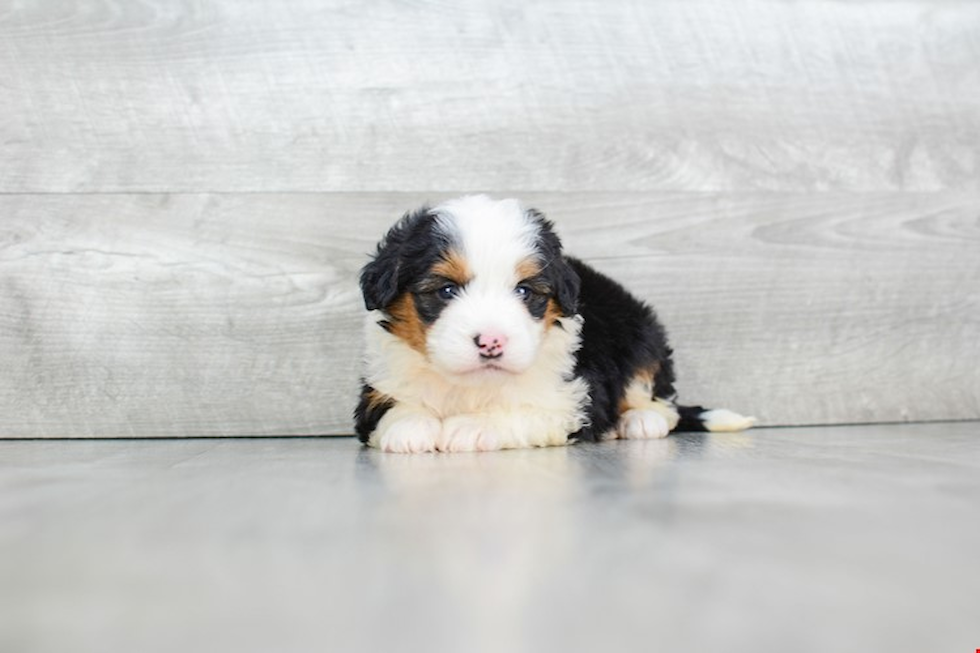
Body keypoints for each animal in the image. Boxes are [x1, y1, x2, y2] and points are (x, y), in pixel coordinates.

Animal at [356, 195, 756, 454]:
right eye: (446, 290)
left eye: (524, 290)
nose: (491, 342)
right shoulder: (379, 386)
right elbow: (392, 408)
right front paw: (409, 428)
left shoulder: (571, 399)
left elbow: (522, 411)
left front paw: (472, 427)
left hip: (641, 332)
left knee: (657, 398)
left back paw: (640, 421)